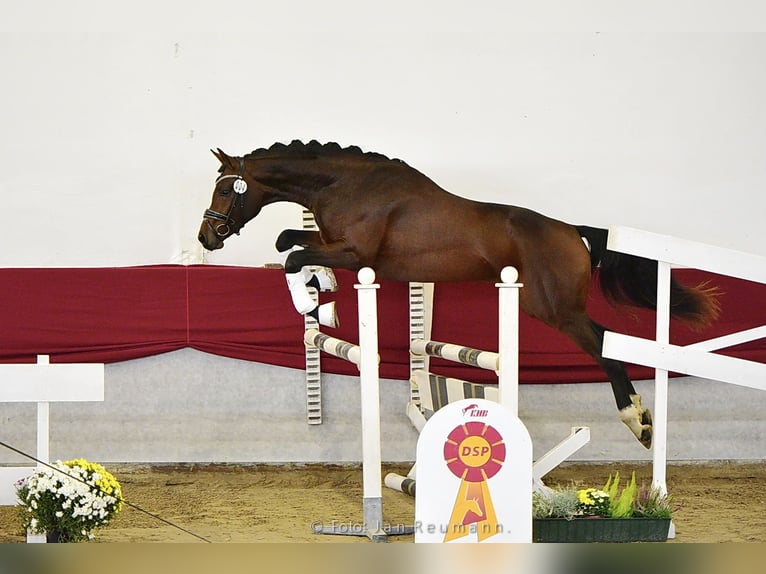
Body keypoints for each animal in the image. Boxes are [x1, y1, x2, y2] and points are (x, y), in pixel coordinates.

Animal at [198, 139, 720, 449]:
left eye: (225, 191)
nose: (207, 237)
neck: (346, 184)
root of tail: (572, 230)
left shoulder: (353, 253)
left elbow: (290, 254)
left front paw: (310, 300)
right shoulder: (332, 245)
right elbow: (289, 242)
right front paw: (320, 294)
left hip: (555, 309)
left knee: (604, 344)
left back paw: (638, 420)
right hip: (547, 306)